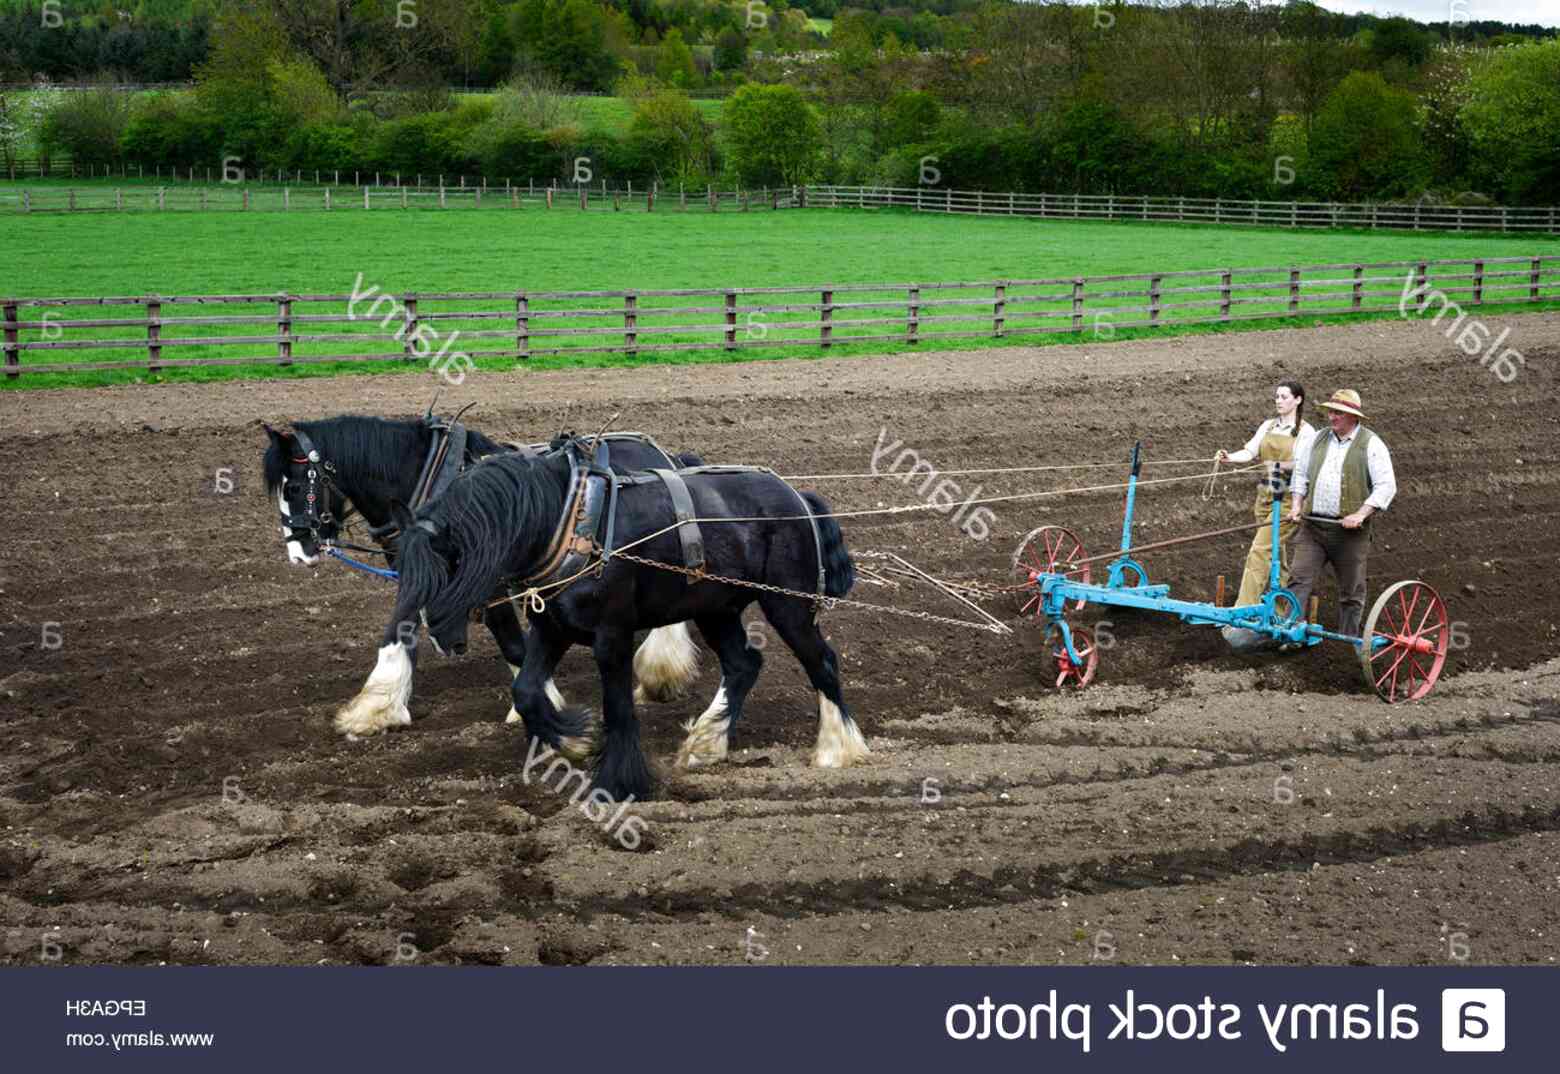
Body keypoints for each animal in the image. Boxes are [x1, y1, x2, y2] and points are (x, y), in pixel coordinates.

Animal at [346, 440, 867, 799]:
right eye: (405, 571)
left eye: (446, 568)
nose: (443, 640)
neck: (569, 525)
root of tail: (796, 495)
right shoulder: (550, 627)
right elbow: (526, 691)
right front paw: (572, 741)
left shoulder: (611, 635)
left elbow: (618, 708)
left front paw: (619, 780)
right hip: (715, 609)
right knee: (743, 665)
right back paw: (706, 742)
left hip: (788, 605)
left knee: (822, 662)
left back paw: (837, 747)